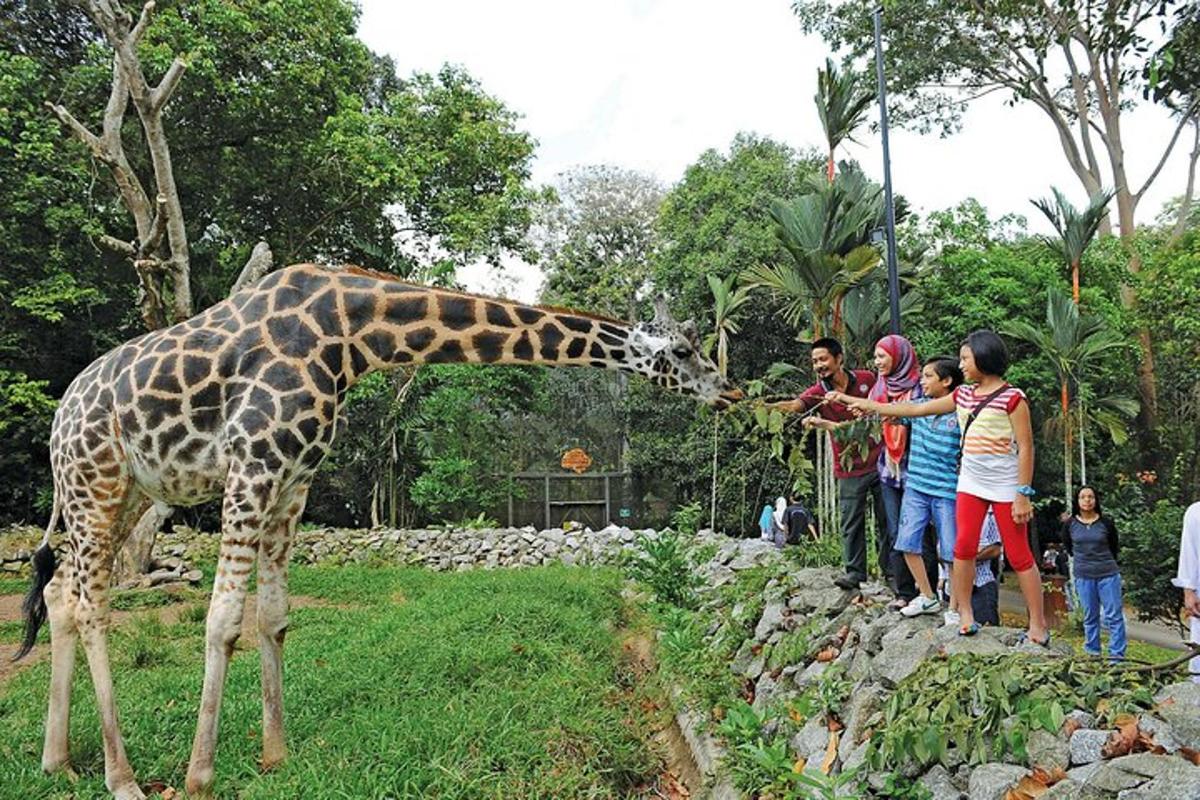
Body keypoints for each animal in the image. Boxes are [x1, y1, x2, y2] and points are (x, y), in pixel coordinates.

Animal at [14, 261, 734, 796]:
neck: (350, 336)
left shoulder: (293, 481)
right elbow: (221, 621)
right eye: (681, 350)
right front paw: (200, 775)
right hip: (95, 482)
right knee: (91, 604)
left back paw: (59, 761)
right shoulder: (251, 466)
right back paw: (123, 777)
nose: (726, 391)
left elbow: (273, 617)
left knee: (60, 595)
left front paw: (276, 755)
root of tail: (57, 421)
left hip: (126, 494)